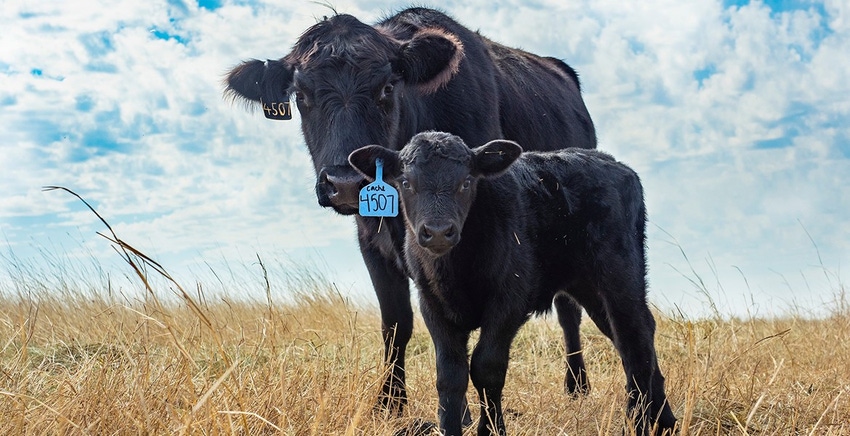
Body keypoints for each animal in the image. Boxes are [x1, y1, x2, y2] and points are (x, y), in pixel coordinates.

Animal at [225, 6, 596, 410]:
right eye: (301, 95)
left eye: (387, 88)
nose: (345, 183)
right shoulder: (372, 242)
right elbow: (396, 323)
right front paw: (390, 400)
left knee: (569, 311)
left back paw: (577, 385)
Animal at [350, 131, 676, 434]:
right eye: (406, 183)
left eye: (467, 182)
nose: (439, 231)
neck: (457, 270)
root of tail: (616, 165)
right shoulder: (432, 303)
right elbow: (450, 375)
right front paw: (450, 428)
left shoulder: (509, 299)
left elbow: (486, 368)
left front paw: (491, 429)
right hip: (588, 288)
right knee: (636, 334)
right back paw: (665, 421)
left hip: (620, 275)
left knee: (634, 342)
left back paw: (637, 424)